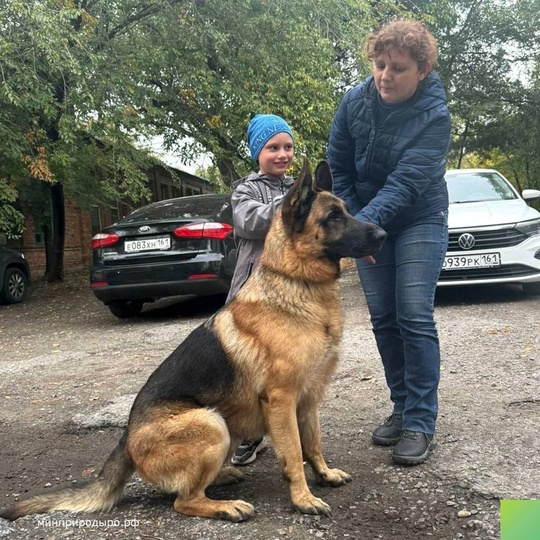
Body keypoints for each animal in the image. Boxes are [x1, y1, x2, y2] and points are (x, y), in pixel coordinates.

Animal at [2, 158, 386, 520]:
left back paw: (223, 477)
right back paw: (226, 507)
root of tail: (126, 438)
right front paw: (303, 499)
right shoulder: (282, 401)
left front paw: (324, 474)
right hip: (212, 424)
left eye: (345, 211)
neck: (296, 282)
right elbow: (294, 454)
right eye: (333, 217)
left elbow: (313, 443)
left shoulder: (308, 399)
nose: (383, 234)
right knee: (183, 501)